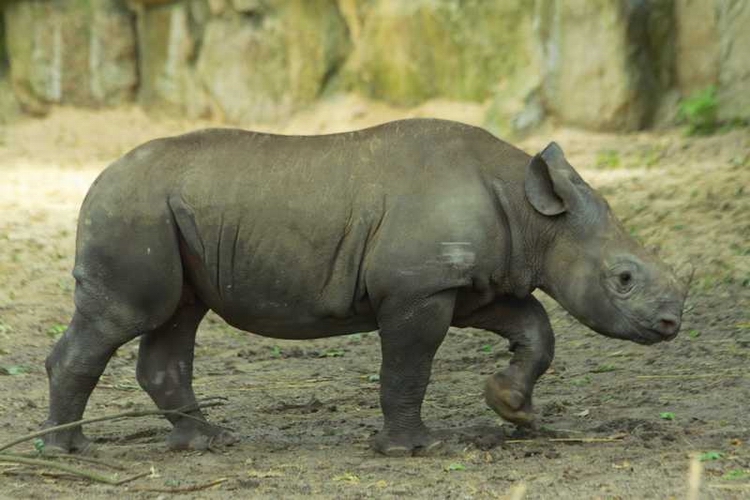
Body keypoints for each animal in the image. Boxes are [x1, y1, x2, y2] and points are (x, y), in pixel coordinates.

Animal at [42, 119, 689, 456]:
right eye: (623, 280)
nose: (670, 325)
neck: (536, 218)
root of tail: (98, 176)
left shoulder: (471, 282)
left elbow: (536, 328)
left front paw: (514, 409)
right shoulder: (418, 289)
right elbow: (409, 366)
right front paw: (412, 449)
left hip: (166, 213)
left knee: (177, 318)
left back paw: (208, 441)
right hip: (133, 210)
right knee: (124, 317)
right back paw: (68, 451)